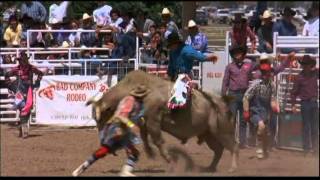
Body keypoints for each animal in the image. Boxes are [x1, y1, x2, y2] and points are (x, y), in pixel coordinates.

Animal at [86, 69, 239, 172]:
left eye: (100, 117)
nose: (102, 142)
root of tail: (223, 101)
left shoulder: (153, 120)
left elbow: (158, 140)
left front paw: (169, 159)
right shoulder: (144, 122)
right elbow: (145, 137)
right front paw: (150, 152)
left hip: (223, 131)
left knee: (233, 146)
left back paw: (232, 167)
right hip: (208, 135)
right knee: (218, 150)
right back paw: (210, 168)